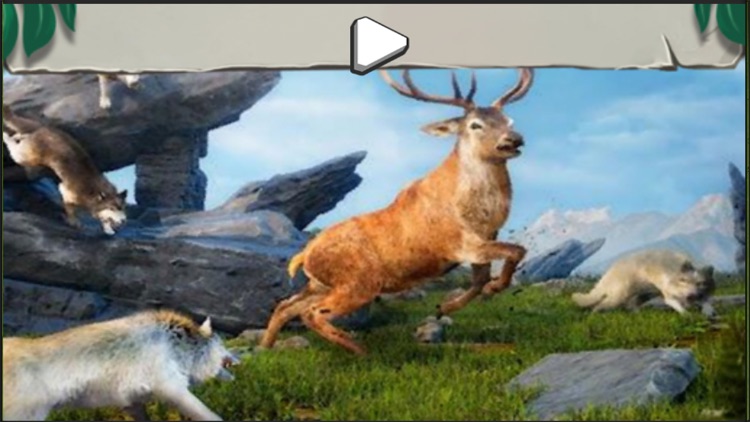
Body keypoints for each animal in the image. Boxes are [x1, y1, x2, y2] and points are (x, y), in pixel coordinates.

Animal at [2, 310, 240, 421]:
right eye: (224, 345)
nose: (239, 358)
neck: (176, 347)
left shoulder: (131, 402)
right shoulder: (174, 389)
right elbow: (213, 416)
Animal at [3, 104, 128, 234]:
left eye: (122, 208)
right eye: (112, 208)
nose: (124, 221)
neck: (94, 192)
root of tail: (44, 128)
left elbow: (104, 219)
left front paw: (107, 228)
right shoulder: (67, 192)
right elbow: (70, 209)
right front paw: (74, 221)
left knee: (21, 136)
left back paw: (17, 135)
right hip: (26, 157)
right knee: (13, 146)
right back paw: (5, 136)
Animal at [571, 249, 716, 315]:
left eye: (701, 283)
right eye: (684, 281)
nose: (691, 296)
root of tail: (609, 272)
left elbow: (706, 301)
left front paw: (708, 311)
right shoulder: (668, 292)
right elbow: (674, 303)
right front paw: (687, 314)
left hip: (644, 295)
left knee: (630, 305)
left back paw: (637, 313)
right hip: (618, 296)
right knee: (600, 305)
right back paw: (594, 314)